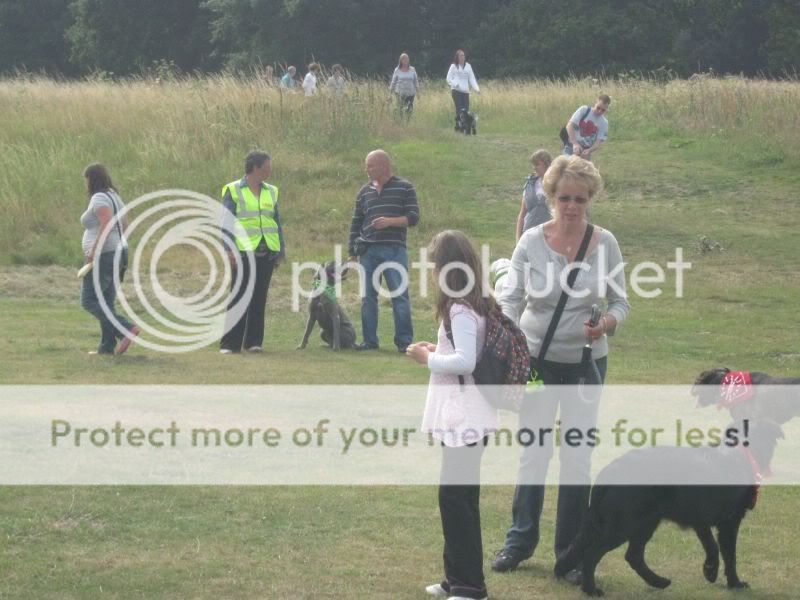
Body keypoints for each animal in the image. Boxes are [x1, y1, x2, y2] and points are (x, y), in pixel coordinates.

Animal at [552, 420, 784, 596]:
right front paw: (735, 583)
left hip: (644, 522)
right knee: (593, 554)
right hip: (623, 525)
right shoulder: (729, 522)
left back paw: (659, 582)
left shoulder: (700, 519)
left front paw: (710, 570)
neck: (739, 454)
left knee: (633, 556)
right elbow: (729, 555)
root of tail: (609, 471)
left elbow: (712, 546)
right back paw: (591, 590)